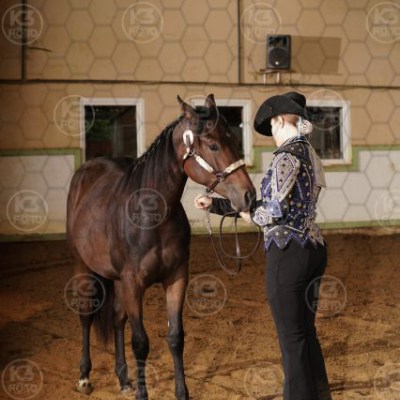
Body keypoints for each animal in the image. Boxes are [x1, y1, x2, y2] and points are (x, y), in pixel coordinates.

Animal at [66, 94, 256, 400]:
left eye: (234, 141)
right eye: (213, 145)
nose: (249, 196)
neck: (151, 215)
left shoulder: (176, 278)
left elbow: (175, 337)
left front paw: (181, 393)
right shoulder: (133, 284)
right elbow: (140, 342)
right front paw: (143, 394)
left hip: (116, 279)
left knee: (117, 319)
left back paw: (124, 379)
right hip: (83, 267)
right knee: (86, 316)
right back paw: (84, 377)